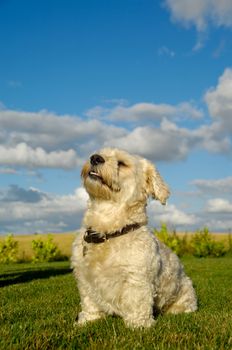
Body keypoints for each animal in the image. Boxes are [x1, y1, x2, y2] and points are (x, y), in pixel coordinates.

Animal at [71, 148, 198, 328]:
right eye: (99, 153)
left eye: (122, 163)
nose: (95, 158)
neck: (108, 231)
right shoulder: (84, 277)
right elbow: (89, 302)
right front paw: (88, 320)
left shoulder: (136, 277)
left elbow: (137, 302)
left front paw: (139, 325)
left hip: (184, 293)